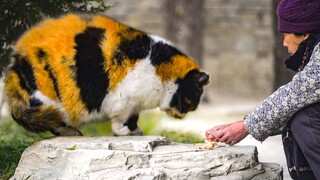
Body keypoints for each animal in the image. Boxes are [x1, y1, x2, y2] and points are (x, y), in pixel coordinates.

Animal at [5, 13, 210, 136]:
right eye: (194, 96)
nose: (189, 111)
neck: (160, 72)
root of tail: (14, 68)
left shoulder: (134, 104)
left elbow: (134, 118)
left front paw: (135, 131)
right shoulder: (122, 100)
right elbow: (119, 120)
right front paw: (123, 132)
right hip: (49, 101)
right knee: (53, 121)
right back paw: (70, 131)